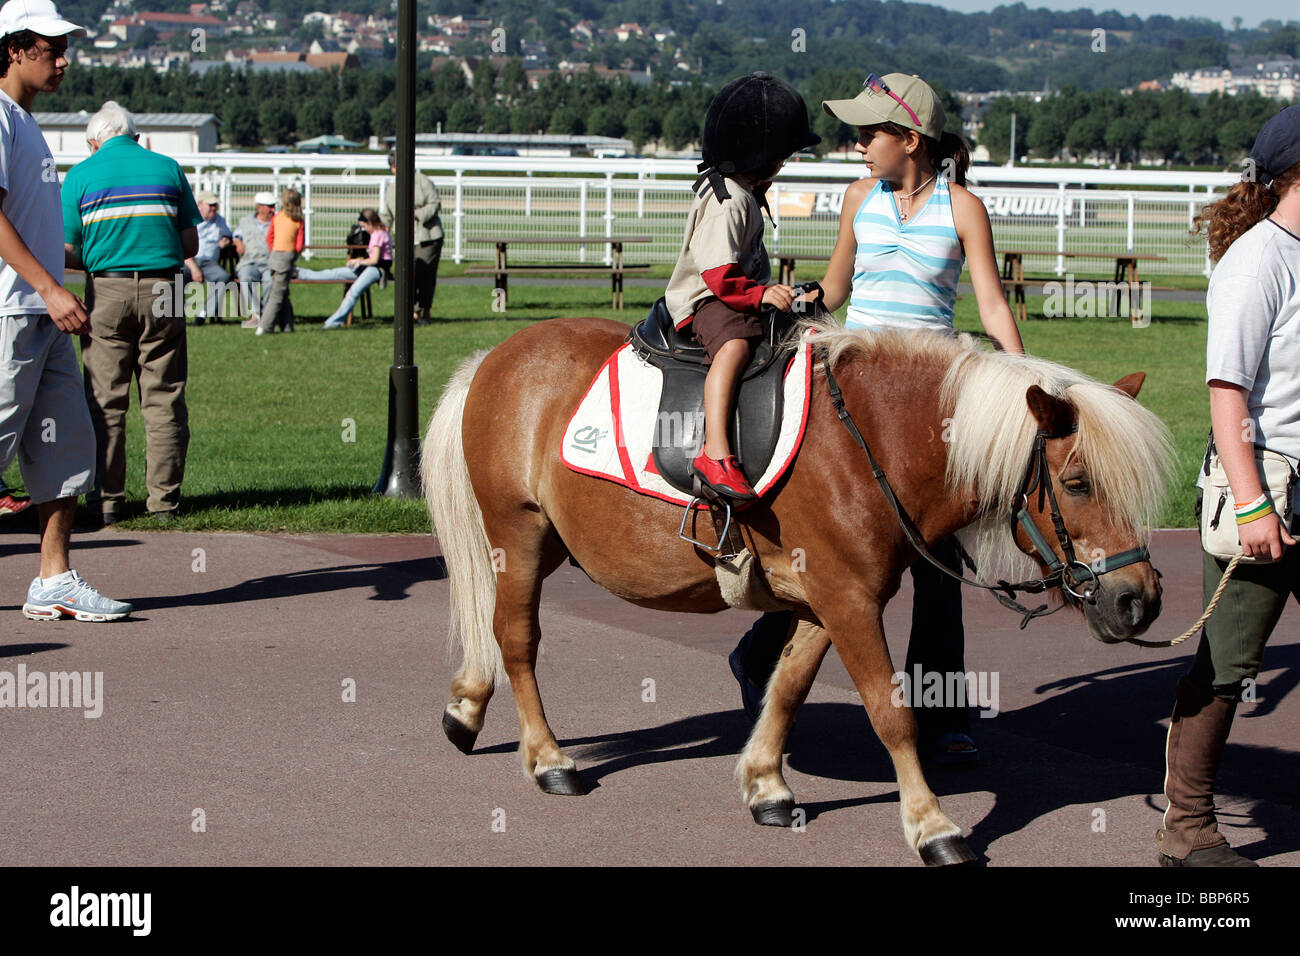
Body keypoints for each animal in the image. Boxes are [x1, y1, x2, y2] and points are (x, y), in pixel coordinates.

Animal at [421, 316, 1175, 868]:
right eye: (1077, 482)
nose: (1138, 599)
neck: (873, 440)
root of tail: (493, 356)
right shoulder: (849, 602)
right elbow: (891, 714)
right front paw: (932, 825)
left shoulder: (828, 600)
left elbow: (787, 688)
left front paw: (766, 784)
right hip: (517, 535)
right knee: (516, 639)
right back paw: (548, 758)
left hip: (547, 543)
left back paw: (467, 705)